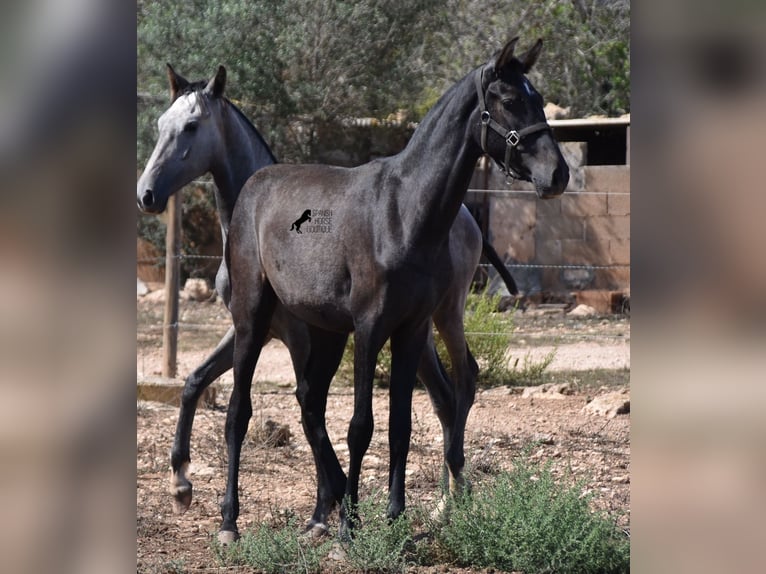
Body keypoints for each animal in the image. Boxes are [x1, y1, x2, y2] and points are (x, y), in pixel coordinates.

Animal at [138, 65, 520, 536]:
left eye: (191, 126)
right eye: (161, 124)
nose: (147, 194)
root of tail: (467, 216)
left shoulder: (304, 337)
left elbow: (309, 407)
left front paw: (327, 508)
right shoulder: (259, 328)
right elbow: (195, 381)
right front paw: (180, 482)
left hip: (445, 313)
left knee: (462, 381)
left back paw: (450, 500)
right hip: (419, 329)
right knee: (445, 397)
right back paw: (445, 504)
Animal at [225, 37, 568, 544]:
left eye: (538, 97)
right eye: (508, 100)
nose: (558, 174)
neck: (404, 213)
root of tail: (252, 186)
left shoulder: (412, 329)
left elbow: (400, 424)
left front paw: (394, 516)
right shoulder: (370, 329)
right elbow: (361, 425)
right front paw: (351, 526)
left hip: (327, 332)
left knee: (311, 404)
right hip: (252, 317)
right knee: (239, 411)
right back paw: (230, 522)